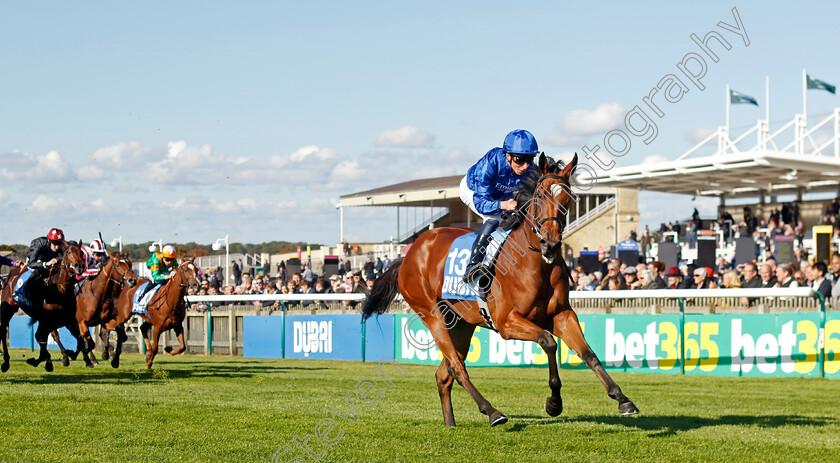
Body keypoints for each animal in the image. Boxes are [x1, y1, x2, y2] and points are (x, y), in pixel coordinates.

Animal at [360, 155, 636, 428]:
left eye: (568, 199)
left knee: (444, 373)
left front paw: (622, 399)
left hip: (461, 322)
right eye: (540, 195)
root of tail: (409, 253)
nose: (550, 244)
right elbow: (548, 342)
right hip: (430, 313)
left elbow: (588, 353)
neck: (534, 264)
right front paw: (554, 403)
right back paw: (492, 412)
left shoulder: (561, 314)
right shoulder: (506, 322)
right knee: (456, 367)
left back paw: (451, 424)